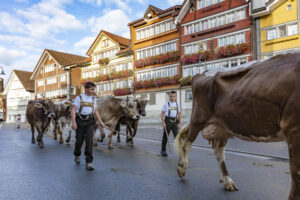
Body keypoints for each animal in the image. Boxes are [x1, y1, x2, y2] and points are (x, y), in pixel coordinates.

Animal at [173, 53, 300, 200]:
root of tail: (203, 72)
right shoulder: (293, 127)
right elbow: (296, 171)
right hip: (198, 117)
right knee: (187, 141)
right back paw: (181, 168)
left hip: (222, 126)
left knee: (218, 150)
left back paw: (228, 181)